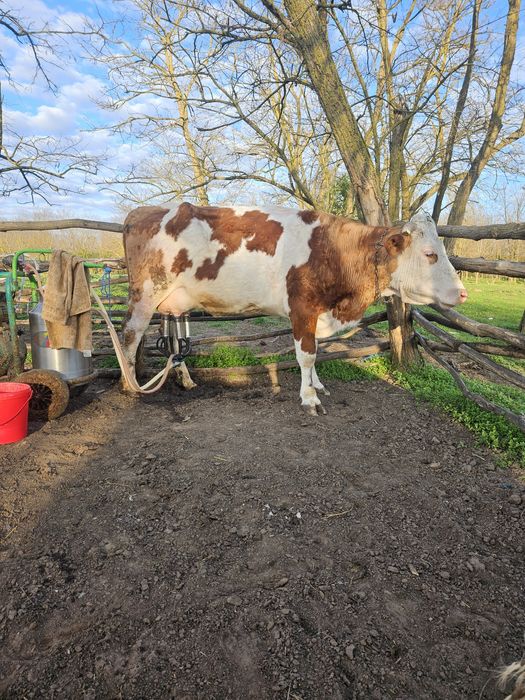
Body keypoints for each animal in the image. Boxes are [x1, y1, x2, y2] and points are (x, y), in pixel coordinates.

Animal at [121, 203, 467, 413]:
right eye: (430, 254)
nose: (463, 293)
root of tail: (143, 210)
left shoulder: (317, 314)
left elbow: (315, 352)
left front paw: (318, 385)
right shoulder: (302, 308)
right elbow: (307, 354)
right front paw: (309, 398)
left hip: (171, 300)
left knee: (173, 341)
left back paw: (185, 380)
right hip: (145, 293)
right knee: (129, 335)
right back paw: (130, 386)